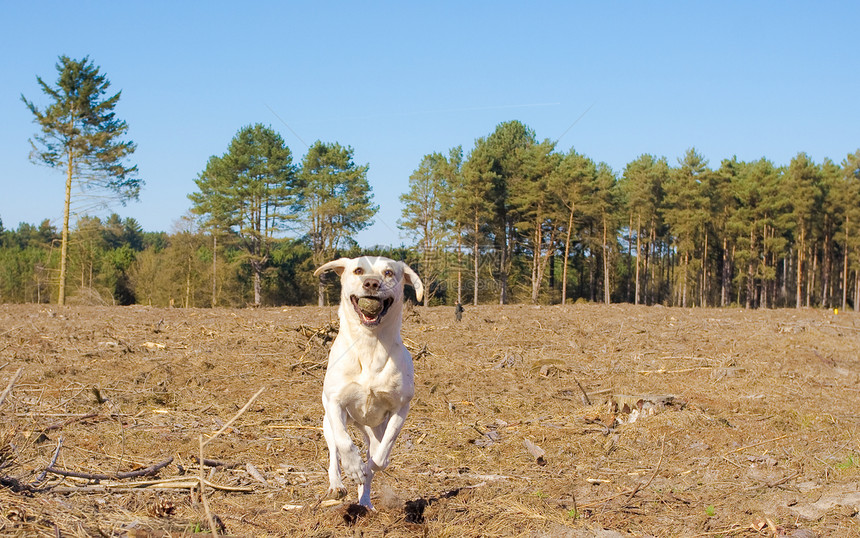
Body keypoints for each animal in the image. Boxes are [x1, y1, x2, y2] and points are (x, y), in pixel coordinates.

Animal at [314, 255, 424, 506]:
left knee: (374, 451)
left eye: (388, 273)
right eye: (358, 270)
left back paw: (364, 500)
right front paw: (354, 467)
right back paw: (337, 484)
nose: (372, 283)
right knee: (334, 453)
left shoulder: (401, 407)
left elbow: (382, 456)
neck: (370, 345)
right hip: (327, 423)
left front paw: (368, 468)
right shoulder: (335, 402)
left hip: (374, 429)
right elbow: (344, 442)